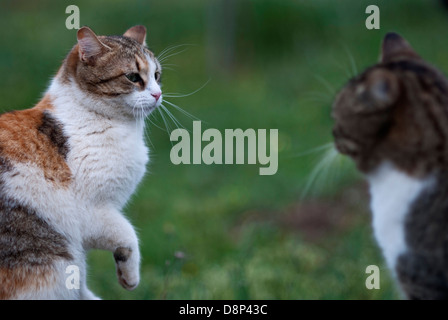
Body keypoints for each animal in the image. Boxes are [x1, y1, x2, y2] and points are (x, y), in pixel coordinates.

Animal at [0, 25, 161, 300]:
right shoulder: (92, 211)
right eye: (133, 77)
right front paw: (130, 276)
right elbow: (128, 235)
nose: (158, 93)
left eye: (157, 76)